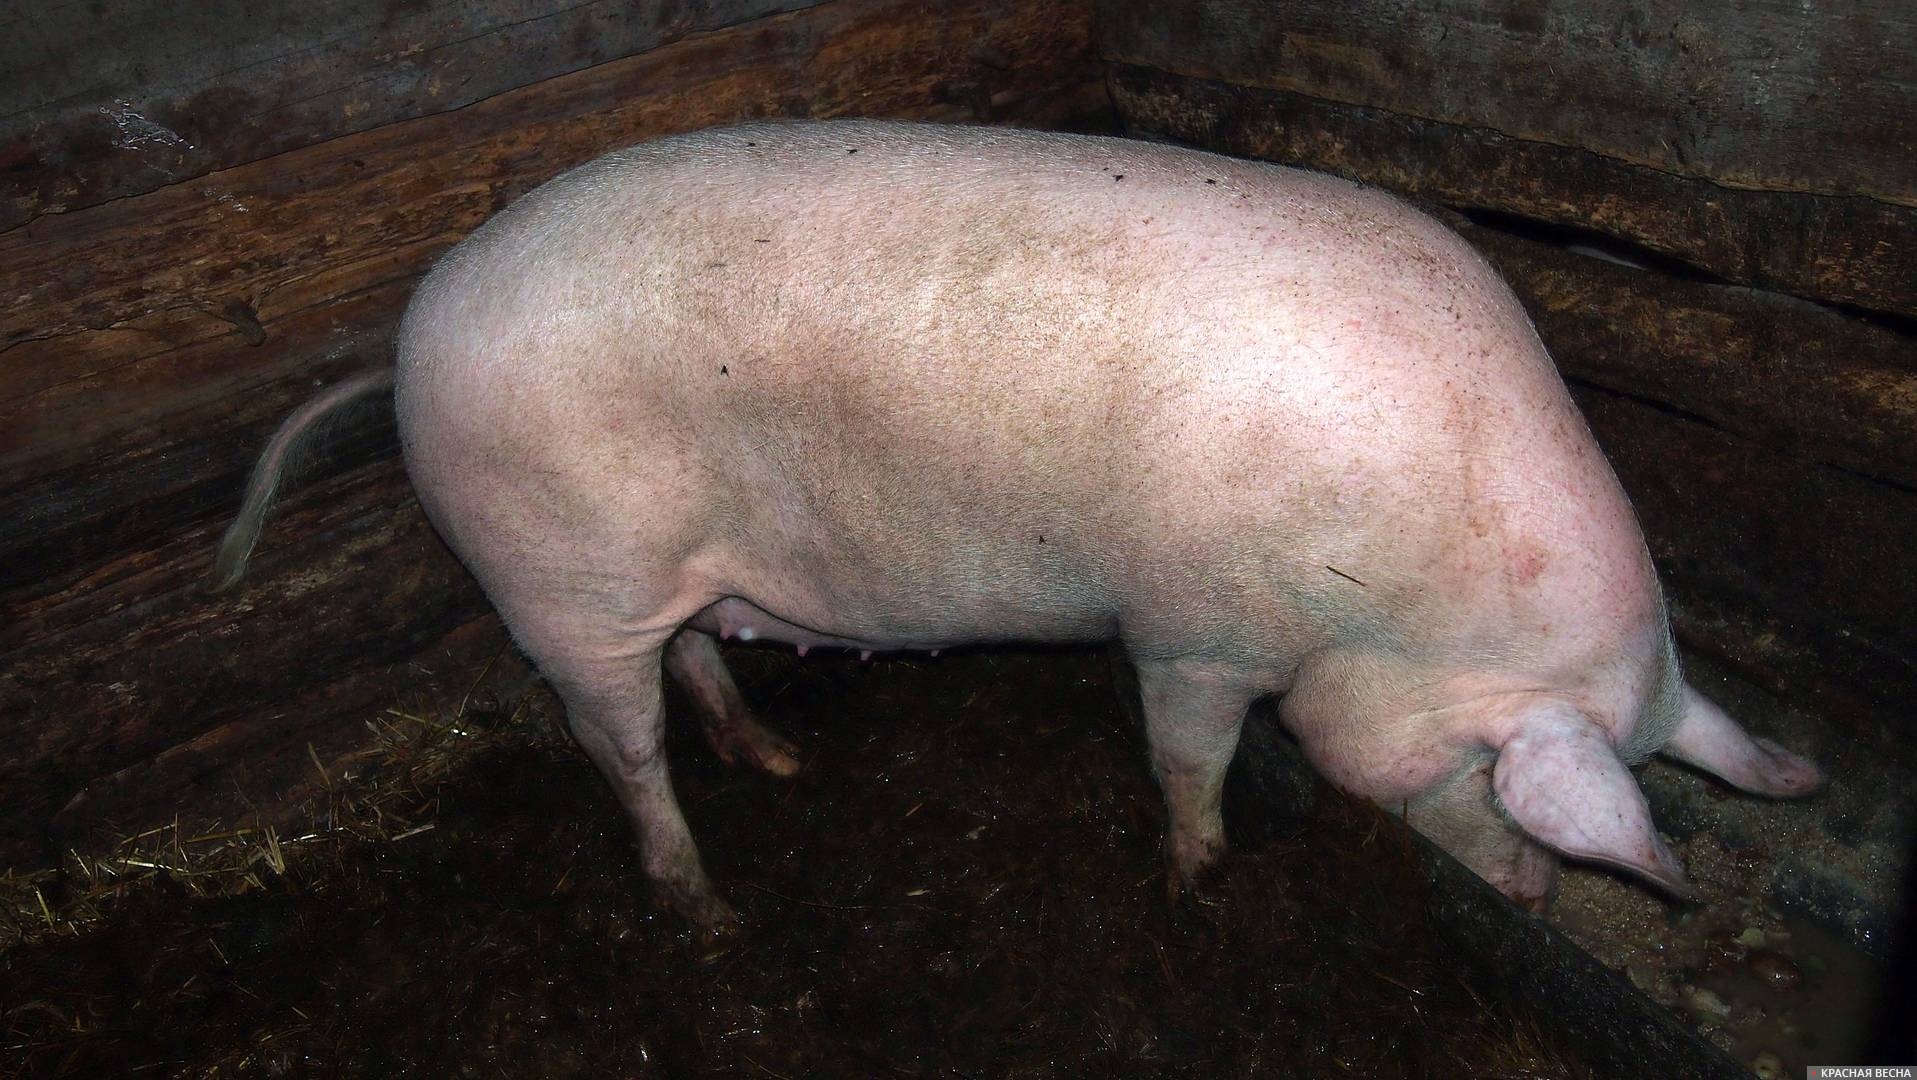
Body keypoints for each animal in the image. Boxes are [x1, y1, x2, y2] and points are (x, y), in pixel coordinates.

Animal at [211, 118, 1822, 926]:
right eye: (1500, 774)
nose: (1546, 898)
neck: (1397, 584)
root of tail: (407, 339)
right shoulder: (1192, 629)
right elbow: (1187, 759)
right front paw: (1201, 882)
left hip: (649, 574)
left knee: (691, 656)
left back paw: (778, 758)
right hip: (552, 577)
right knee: (620, 747)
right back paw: (707, 909)